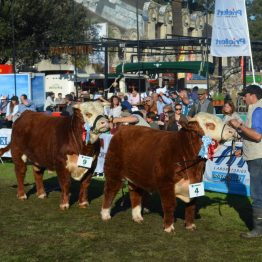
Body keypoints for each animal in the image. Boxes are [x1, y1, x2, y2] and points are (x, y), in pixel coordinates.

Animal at [100, 112, 235, 233]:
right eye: (209, 124)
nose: (232, 132)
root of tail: (123, 129)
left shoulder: (196, 183)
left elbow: (191, 206)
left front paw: (190, 225)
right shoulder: (166, 184)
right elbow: (169, 205)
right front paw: (168, 227)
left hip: (136, 176)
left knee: (135, 195)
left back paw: (137, 217)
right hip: (113, 171)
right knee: (110, 191)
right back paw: (105, 215)